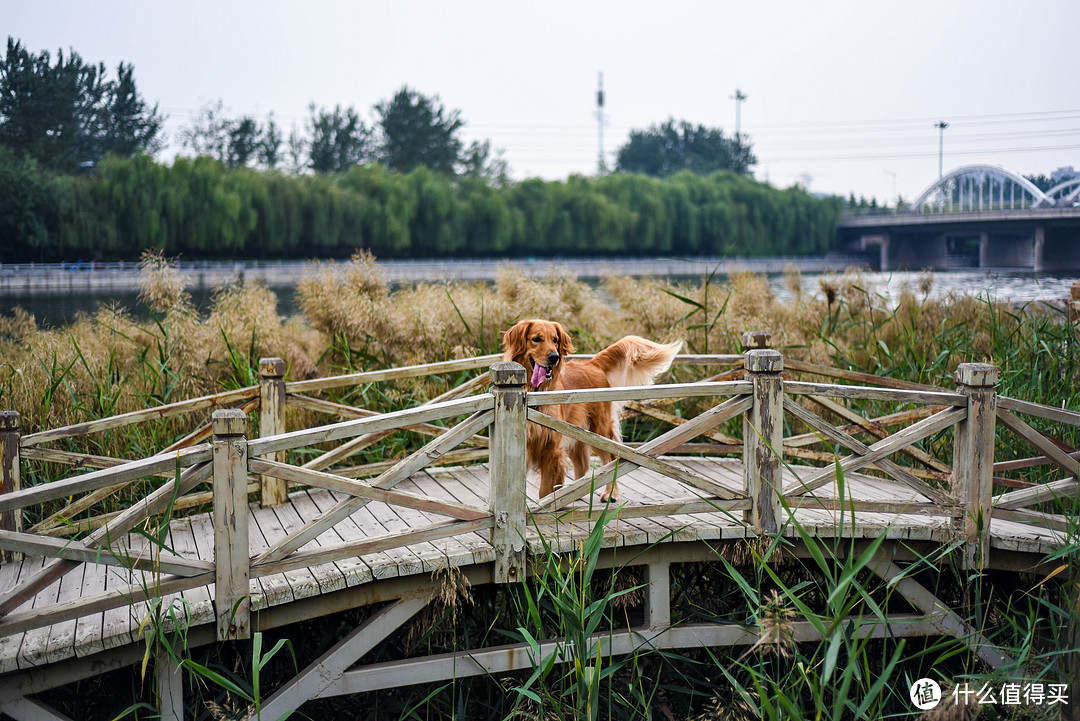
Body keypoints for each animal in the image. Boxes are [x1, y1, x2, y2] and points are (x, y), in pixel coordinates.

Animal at [498, 319, 682, 500]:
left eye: (555, 340)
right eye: (537, 339)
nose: (554, 357)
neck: (534, 393)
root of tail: (592, 363)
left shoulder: (552, 449)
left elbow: (546, 490)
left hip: (599, 431)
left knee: (611, 460)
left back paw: (610, 494)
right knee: (582, 464)